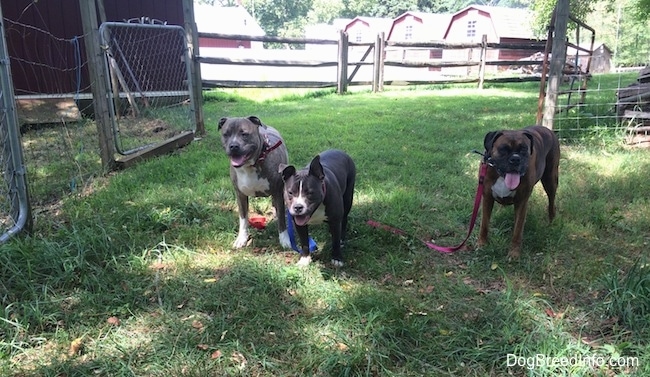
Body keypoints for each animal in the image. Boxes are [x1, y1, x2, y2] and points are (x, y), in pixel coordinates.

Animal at [216, 116, 290, 248]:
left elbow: (282, 219)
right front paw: (242, 238)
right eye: (226, 134)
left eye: (244, 134)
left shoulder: (278, 192)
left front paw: (285, 240)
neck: (250, 166)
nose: (233, 146)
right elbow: (243, 218)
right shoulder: (240, 195)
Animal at [474, 125, 560, 258]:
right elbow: (484, 224)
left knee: (551, 202)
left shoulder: (521, 202)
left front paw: (514, 253)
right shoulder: (487, 198)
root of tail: (547, 129)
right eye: (503, 149)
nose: (515, 159)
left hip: (550, 180)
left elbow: (517, 230)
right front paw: (482, 244)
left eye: (524, 149)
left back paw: (550, 222)